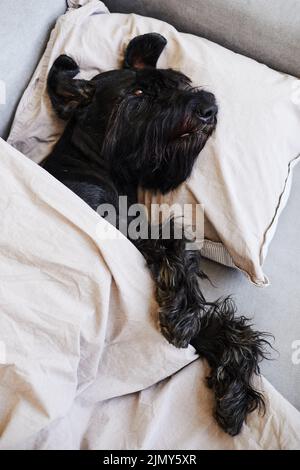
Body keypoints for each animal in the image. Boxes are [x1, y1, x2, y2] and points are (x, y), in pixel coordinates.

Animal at [42, 34, 270, 436]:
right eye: (137, 93)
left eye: (178, 83)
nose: (207, 106)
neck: (97, 164)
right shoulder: (117, 226)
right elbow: (177, 240)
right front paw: (182, 313)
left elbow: (222, 327)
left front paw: (234, 393)